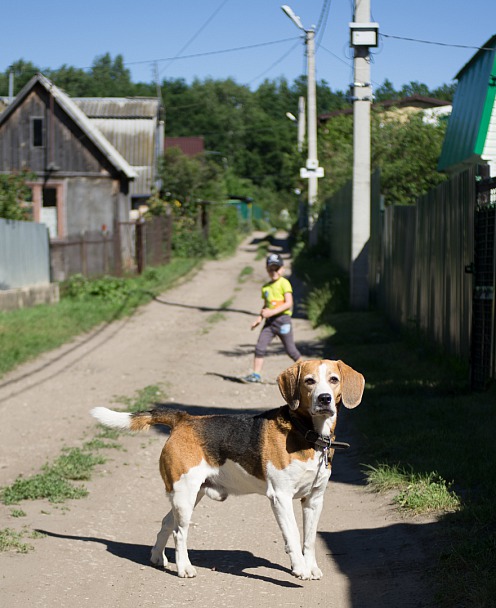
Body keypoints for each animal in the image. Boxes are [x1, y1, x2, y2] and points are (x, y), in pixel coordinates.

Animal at [92, 358, 364, 580]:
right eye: (309, 381)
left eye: (334, 380)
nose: (324, 398)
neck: (307, 433)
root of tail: (183, 419)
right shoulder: (281, 497)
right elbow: (294, 536)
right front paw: (300, 569)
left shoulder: (314, 499)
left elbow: (309, 539)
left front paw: (312, 567)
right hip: (185, 494)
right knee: (179, 533)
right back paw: (184, 568)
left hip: (191, 494)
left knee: (167, 522)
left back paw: (158, 557)